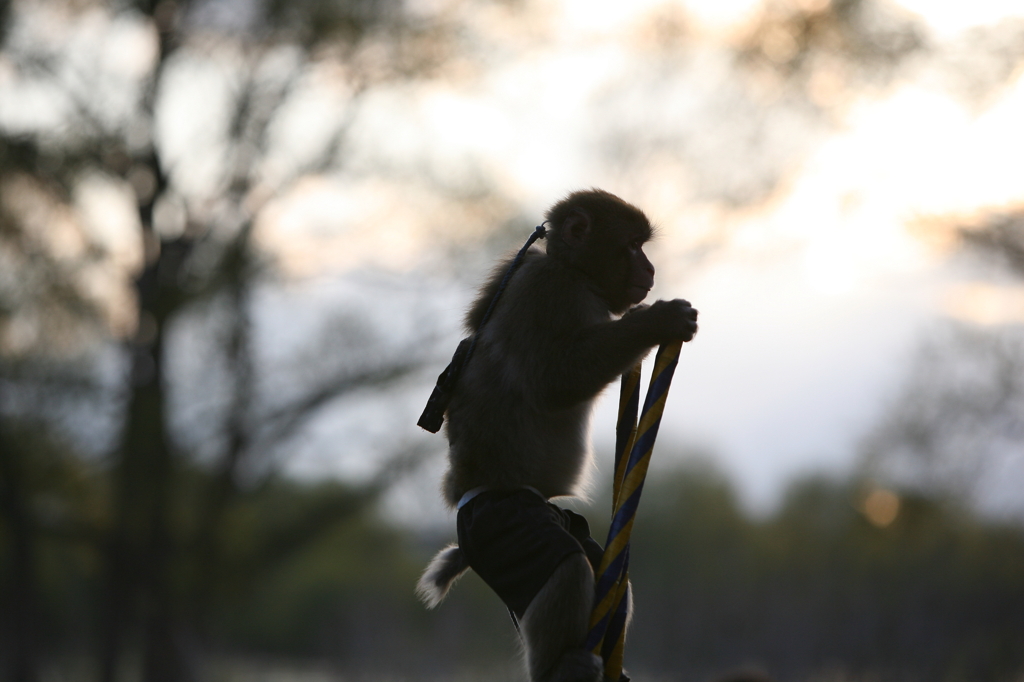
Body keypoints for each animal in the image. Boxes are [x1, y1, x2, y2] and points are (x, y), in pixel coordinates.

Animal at [415, 187, 696, 679]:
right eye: (633, 245)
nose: (650, 268)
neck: (573, 270)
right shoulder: (550, 292)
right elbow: (554, 380)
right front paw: (656, 321)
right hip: (506, 528)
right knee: (567, 567)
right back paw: (560, 667)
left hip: (556, 522)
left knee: (601, 566)